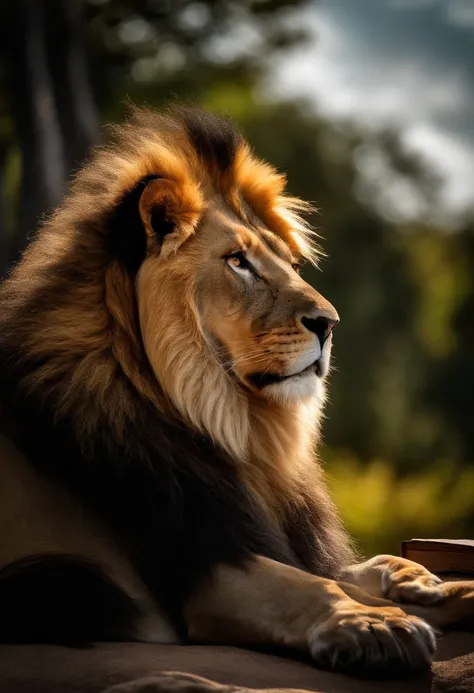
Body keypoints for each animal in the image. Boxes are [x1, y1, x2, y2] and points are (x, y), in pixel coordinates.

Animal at [0, 105, 470, 680]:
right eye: (238, 262)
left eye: (291, 264)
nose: (329, 324)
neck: (239, 431)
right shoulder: (208, 570)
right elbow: (309, 586)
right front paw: (377, 625)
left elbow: (349, 570)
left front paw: (424, 584)